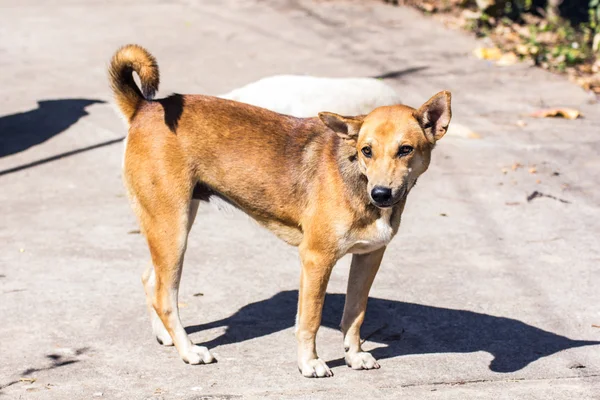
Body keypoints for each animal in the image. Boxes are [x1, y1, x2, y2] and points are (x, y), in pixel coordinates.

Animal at [110, 44, 452, 378]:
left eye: (405, 149)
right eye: (366, 150)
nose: (380, 194)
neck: (357, 175)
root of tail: (144, 107)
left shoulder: (368, 258)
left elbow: (355, 313)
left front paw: (354, 355)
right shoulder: (316, 260)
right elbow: (310, 319)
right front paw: (310, 363)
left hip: (170, 225)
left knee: (150, 281)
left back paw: (165, 336)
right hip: (174, 229)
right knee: (165, 296)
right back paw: (188, 351)